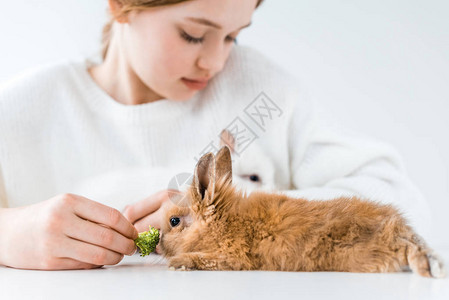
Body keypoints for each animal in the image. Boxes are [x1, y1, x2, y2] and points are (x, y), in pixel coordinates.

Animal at [158, 146, 444, 278]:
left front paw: (178, 263)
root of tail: (397, 228)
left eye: (174, 221)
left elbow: (207, 259)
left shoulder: (232, 256)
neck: (221, 222)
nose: (158, 245)